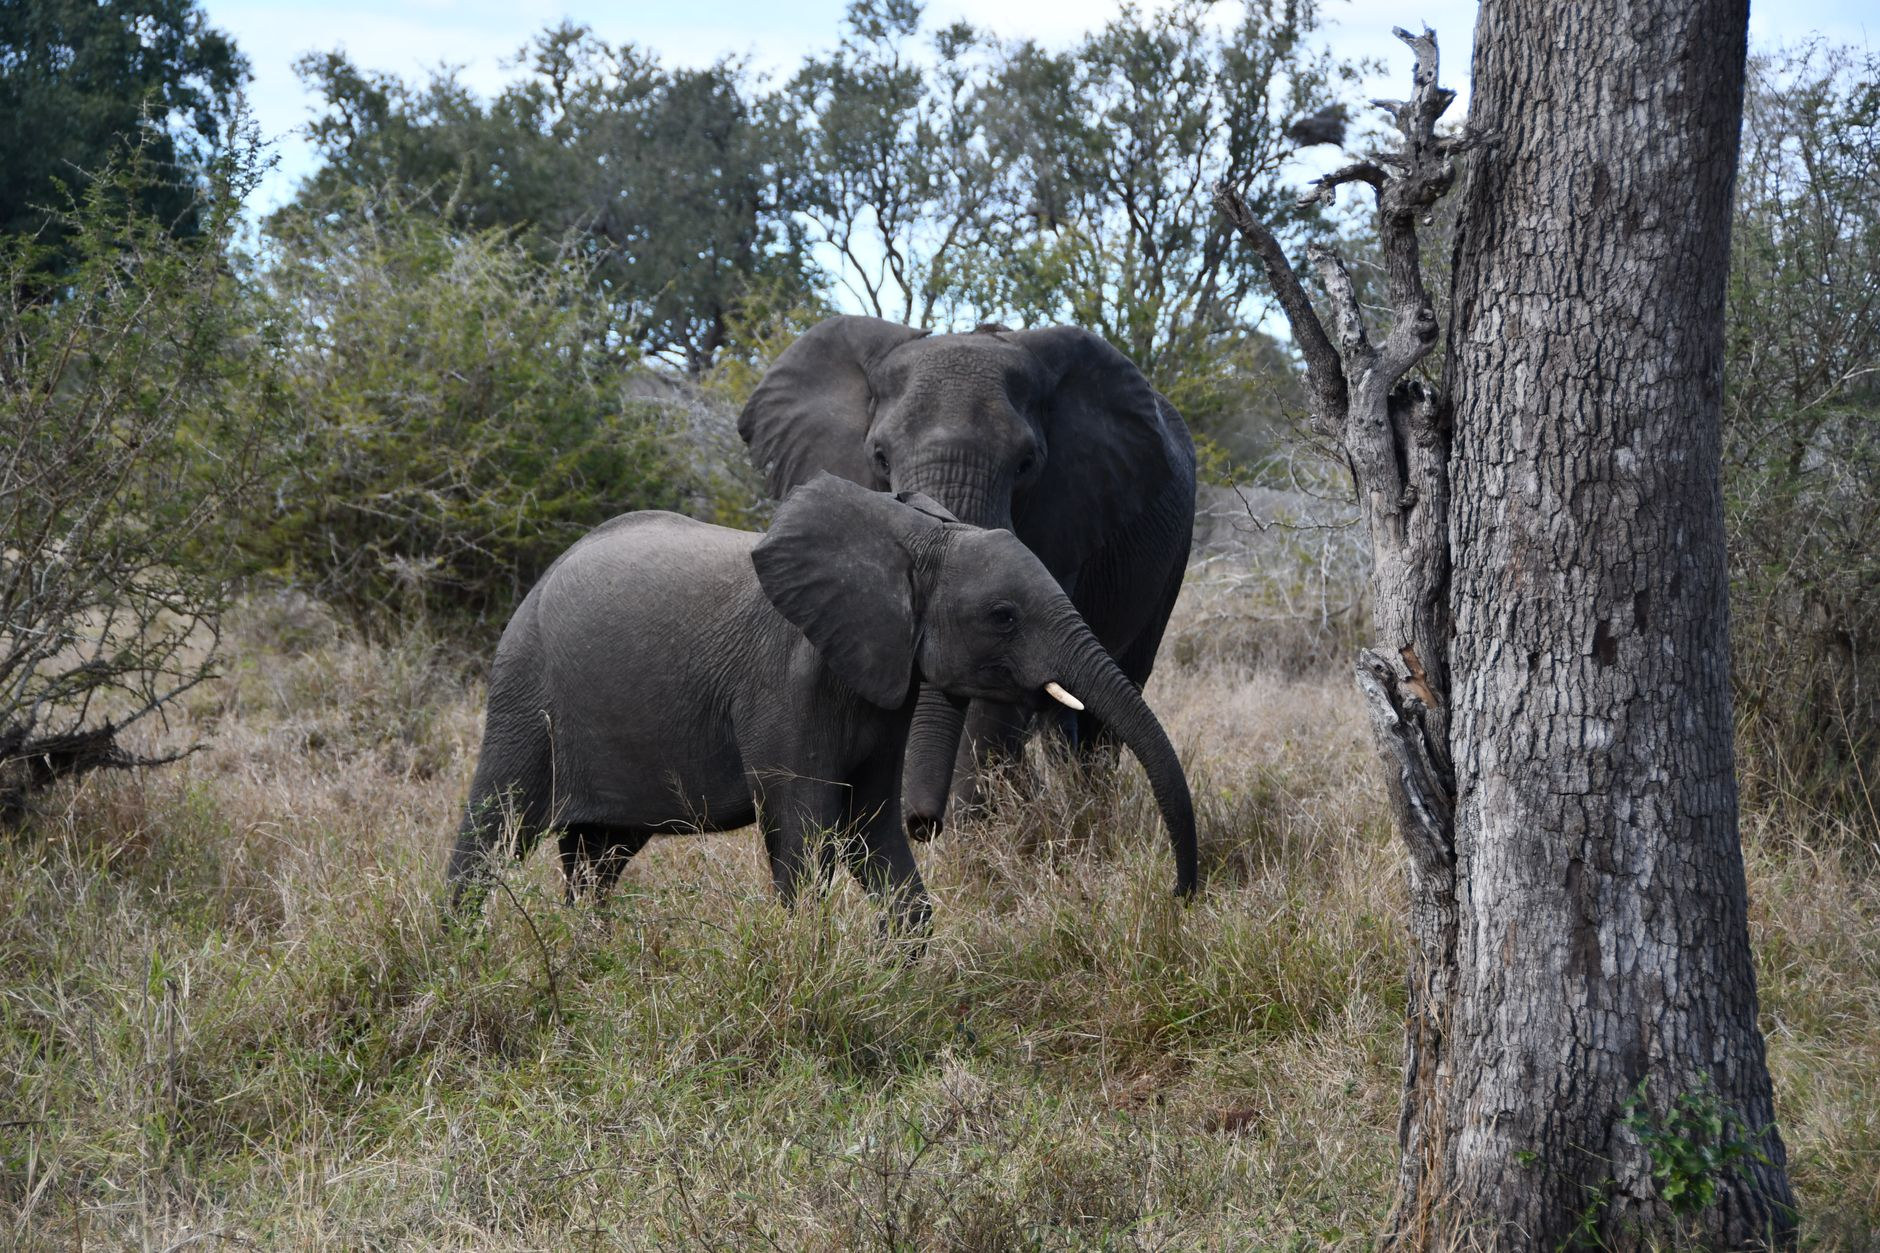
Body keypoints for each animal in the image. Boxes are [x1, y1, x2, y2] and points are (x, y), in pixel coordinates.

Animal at [445, 473, 1198, 929]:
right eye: (1005, 616)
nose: (1180, 897)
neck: (910, 535)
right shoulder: (785, 681)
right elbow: (805, 831)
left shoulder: (884, 681)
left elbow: (873, 827)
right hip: (524, 688)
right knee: (493, 828)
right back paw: (462, 953)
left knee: (598, 855)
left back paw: (587, 951)